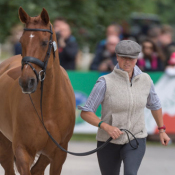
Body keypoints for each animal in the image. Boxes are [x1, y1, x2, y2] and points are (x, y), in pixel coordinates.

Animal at [0, 7, 75, 175]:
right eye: (21, 42)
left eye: (44, 42)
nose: (26, 82)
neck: (47, 106)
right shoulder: (23, 151)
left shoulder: (58, 155)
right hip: (5, 144)